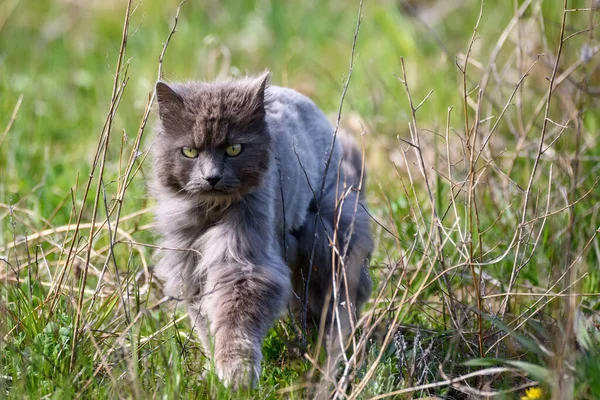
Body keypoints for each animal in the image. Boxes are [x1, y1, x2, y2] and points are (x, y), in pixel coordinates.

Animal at [149, 72, 372, 390]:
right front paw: (213, 371)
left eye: (234, 149)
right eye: (190, 151)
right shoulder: (189, 267)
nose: (212, 177)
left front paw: (236, 373)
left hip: (327, 235)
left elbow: (235, 321)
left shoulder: (245, 264)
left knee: (338, 301)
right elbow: (204, 324)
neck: (211, 211)